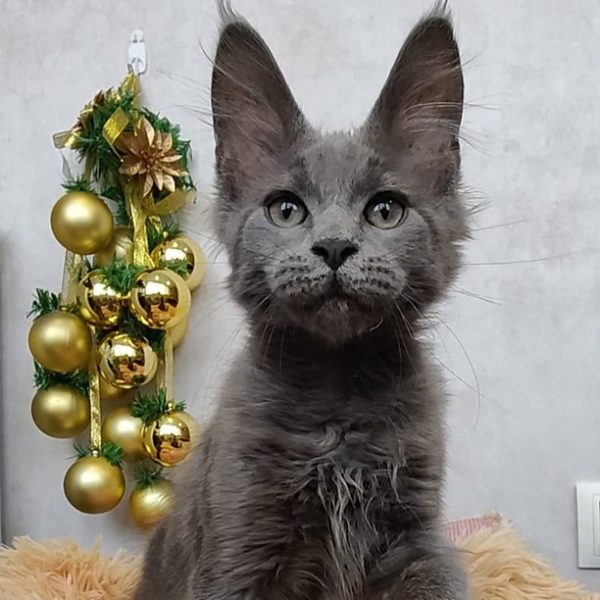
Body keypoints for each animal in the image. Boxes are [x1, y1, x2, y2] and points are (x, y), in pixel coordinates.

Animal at [134, 4, 472, 600]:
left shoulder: (416, 538)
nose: (334, 247)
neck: (337, 401)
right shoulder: (237, 538)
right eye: (286, 210)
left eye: (386, 210)